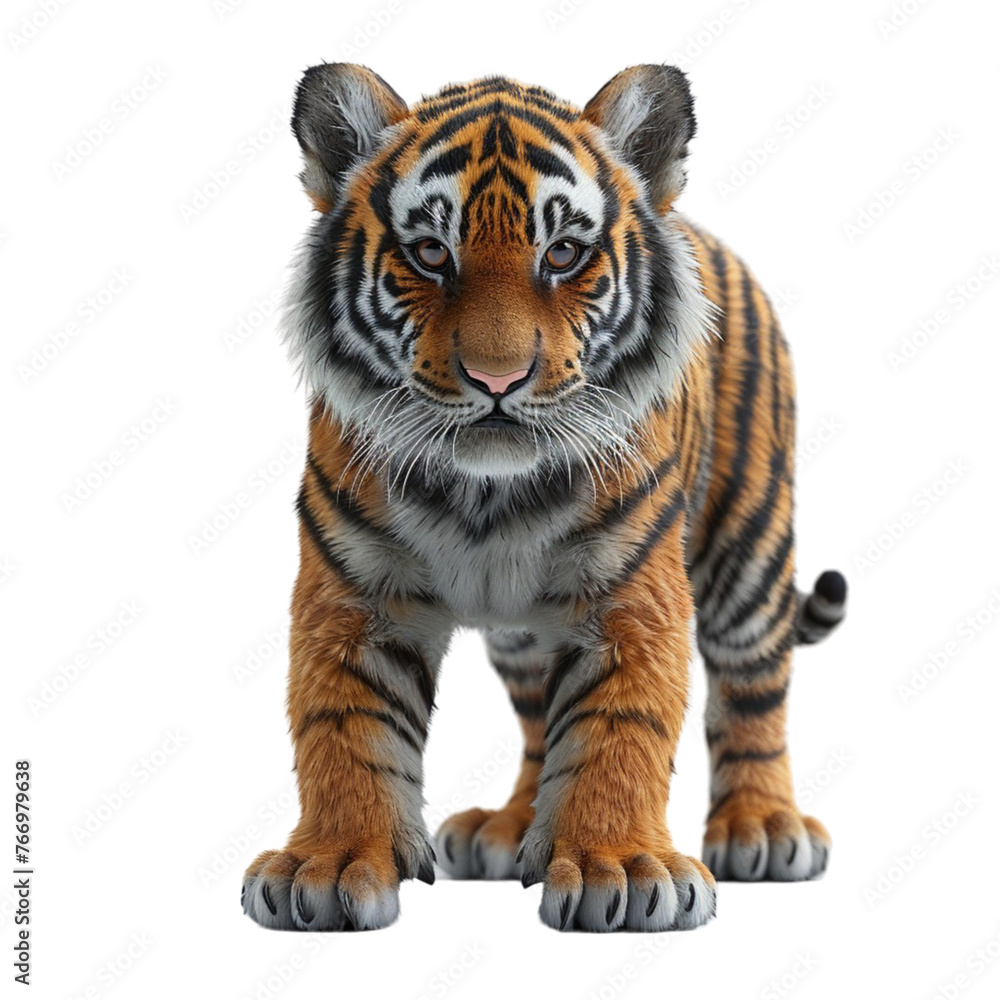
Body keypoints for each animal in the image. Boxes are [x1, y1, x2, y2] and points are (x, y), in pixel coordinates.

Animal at [241, 62, 848, 933]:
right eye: (430, 252)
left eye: (562, 253)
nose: (497, 379)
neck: (486, 496)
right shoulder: (353, 597)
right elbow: (343, 727)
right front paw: (329, 863)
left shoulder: (633, 599)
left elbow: (620, 729)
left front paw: (616, 866)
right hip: (525, 632)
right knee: (537, 715)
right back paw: (510, 826)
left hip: (747, 546)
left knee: (754, 686)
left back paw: (762, 827)